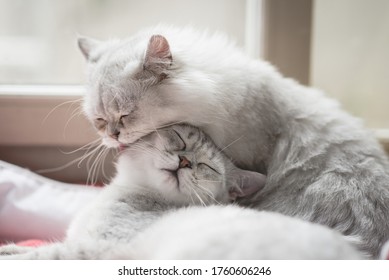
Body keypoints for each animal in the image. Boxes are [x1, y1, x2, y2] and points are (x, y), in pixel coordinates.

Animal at [0, 126, 360, 260]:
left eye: (208, 167)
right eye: (179, 139)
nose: (185, 161)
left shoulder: (97, 250)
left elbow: (41, 254)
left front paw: (9, 252)